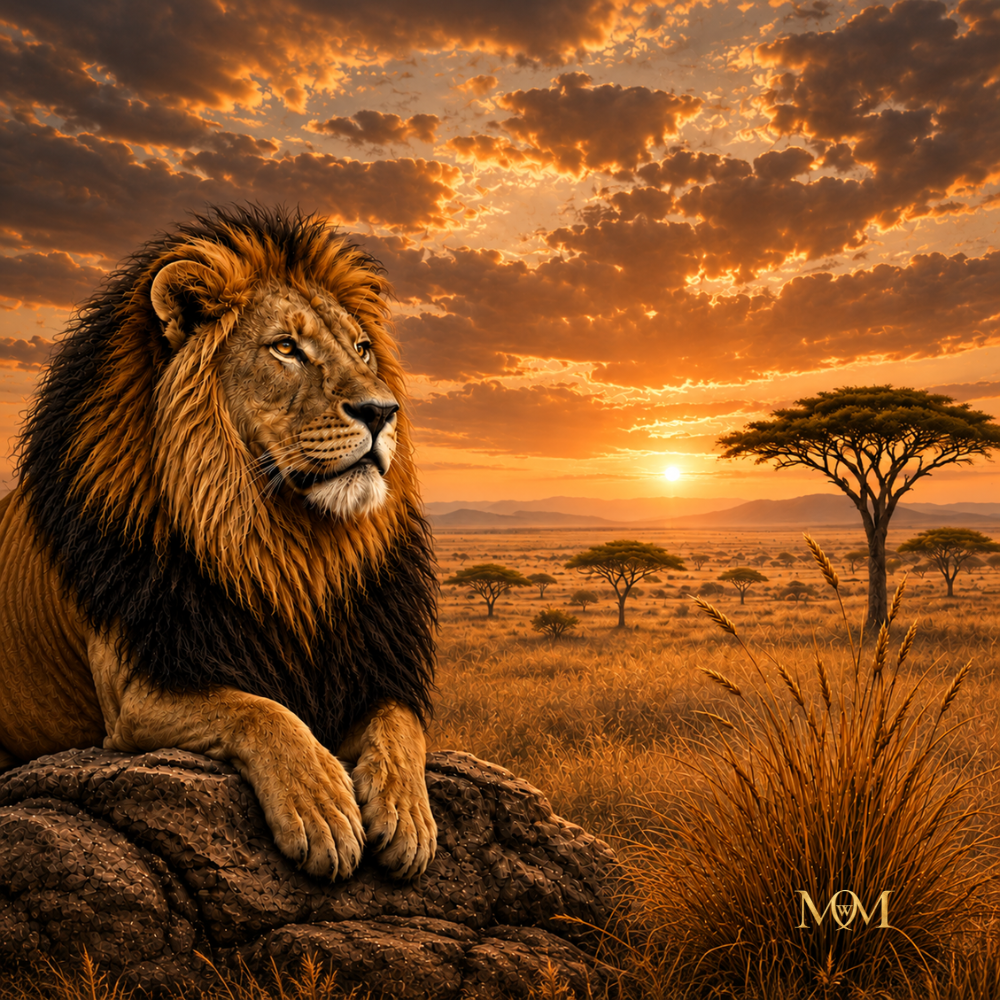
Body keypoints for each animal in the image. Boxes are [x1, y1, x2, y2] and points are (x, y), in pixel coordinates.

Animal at [0, 204, 438, 881]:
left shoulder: (373, 663)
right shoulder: (138, 692)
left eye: (362, 348)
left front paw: (409, 816)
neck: (286, 546)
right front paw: (321, 807)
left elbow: (401, 726)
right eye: (285, 348)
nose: (381, 411)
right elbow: (259, 711)